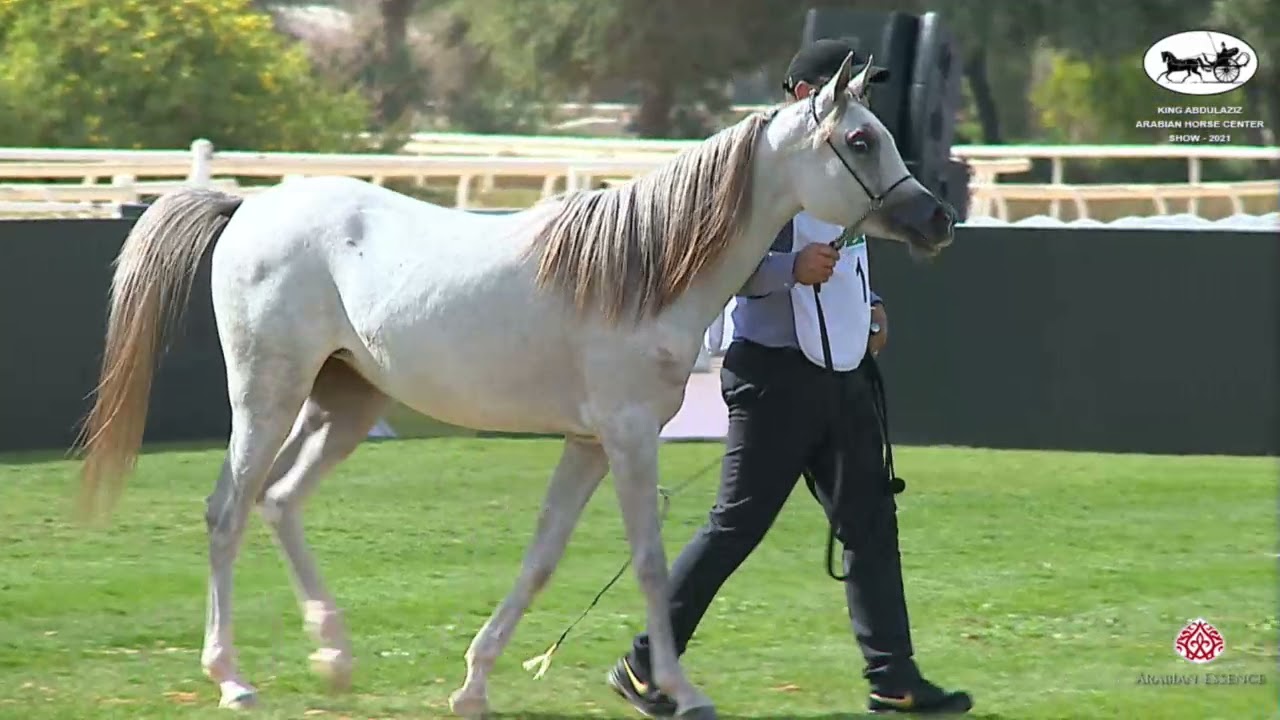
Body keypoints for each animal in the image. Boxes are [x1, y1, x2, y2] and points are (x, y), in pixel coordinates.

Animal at [74, 52, 954, 719]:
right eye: (860, 139)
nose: (937, 219)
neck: (644, 270)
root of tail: (248, 205)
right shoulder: (629, 436)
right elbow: (651, 563)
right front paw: (679, 691)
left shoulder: (589, 443)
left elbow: (541, 560)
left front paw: (473, 684)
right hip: (268, 395)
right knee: (228, 511)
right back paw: (233, 679)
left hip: (347, 401)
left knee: (281, 500)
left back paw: (334, 656)